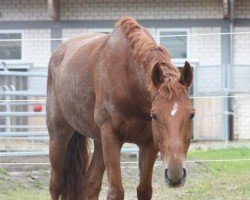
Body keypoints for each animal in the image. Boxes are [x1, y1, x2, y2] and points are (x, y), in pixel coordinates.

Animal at [47, 17, 195, 200]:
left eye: (191, 115)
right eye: (154, 115)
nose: (175, 174)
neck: (130, 79)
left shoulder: (149, 143)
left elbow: (144, 190)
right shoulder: (111, 137)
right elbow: (116, 191)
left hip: (99, 142)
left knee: (90, 183)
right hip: (58, 136)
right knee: (56, 184)